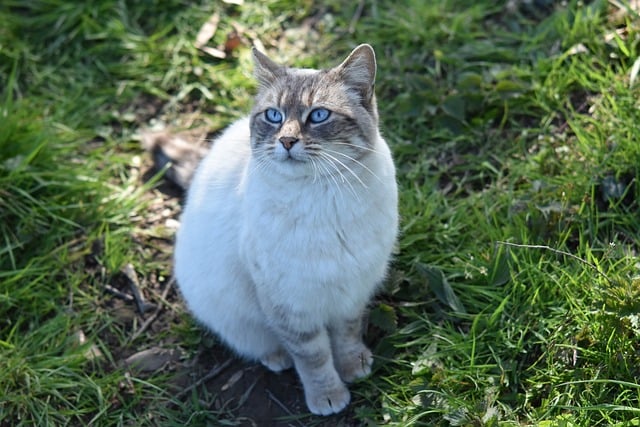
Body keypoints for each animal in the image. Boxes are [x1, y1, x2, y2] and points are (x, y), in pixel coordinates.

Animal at [172, 45, 398, 416]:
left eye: (318, 115)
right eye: (274, 116)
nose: (287, 140)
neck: (320, 195)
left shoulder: (351, 289)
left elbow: (347, 335)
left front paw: (354, 367)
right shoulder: (289, 303)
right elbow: (313, 357)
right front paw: (328, 398)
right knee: (260, 343)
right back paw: (277, 357)